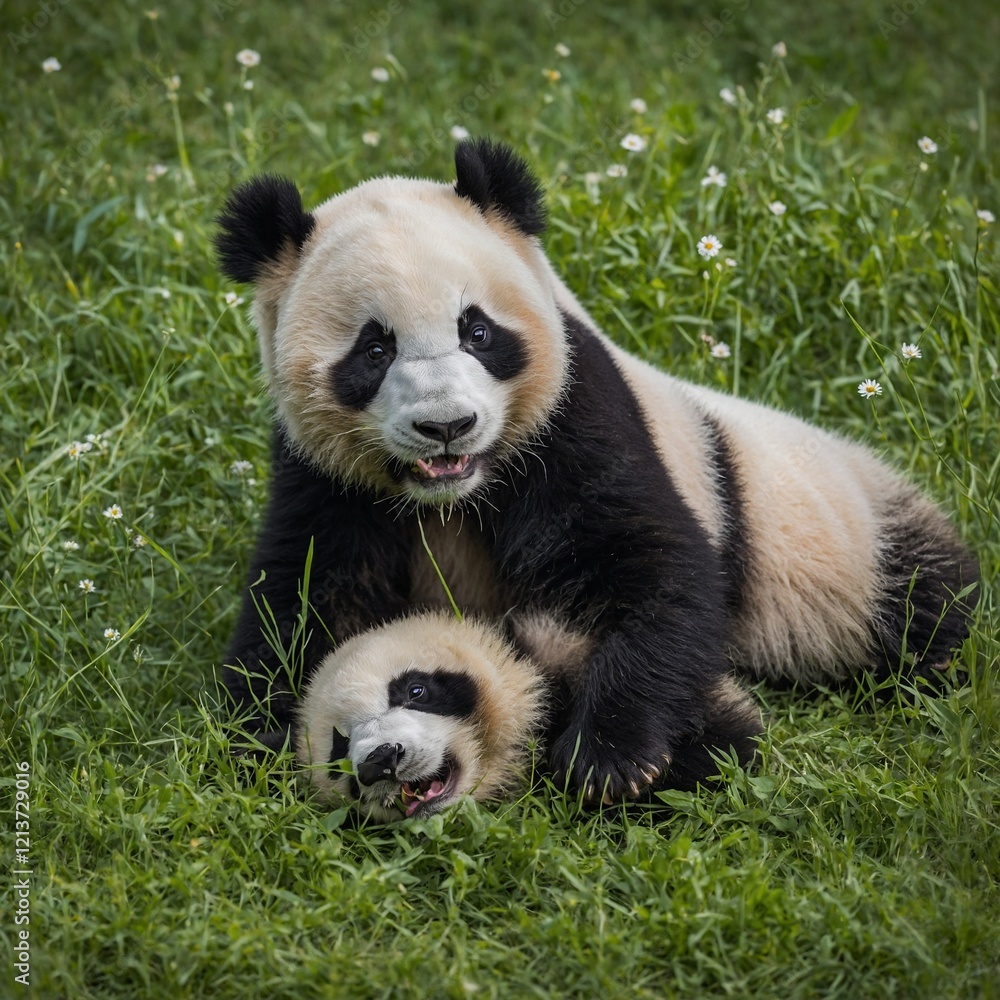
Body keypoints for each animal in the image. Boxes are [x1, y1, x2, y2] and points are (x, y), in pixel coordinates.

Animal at [215, 137, 977, 805]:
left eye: (477, 331)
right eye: (374, 350)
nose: (447, 426)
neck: (456, 493)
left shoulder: (575, 413)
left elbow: (649, 562)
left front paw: (610, 758)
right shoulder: (323, 474)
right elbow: (309, 587)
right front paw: (255, 738)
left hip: (840, 541)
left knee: (918, 600)